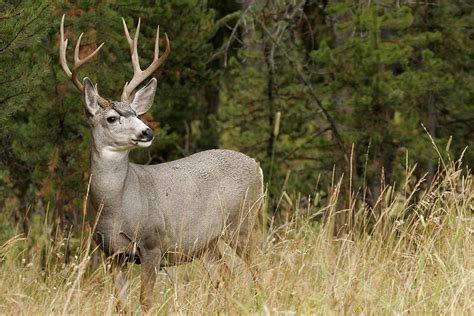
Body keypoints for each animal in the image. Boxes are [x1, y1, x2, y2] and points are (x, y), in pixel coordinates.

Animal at [58, 14, 262, 312]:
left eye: (135, 112)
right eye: (112, 118)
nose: (147, 132)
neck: (116, 205)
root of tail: (256, 165)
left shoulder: (152, 243)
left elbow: (146, 301)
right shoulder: (111, 253)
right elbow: (121, 304)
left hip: (242, 221)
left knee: (257, 266)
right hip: (207, 243)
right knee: (224, 274)